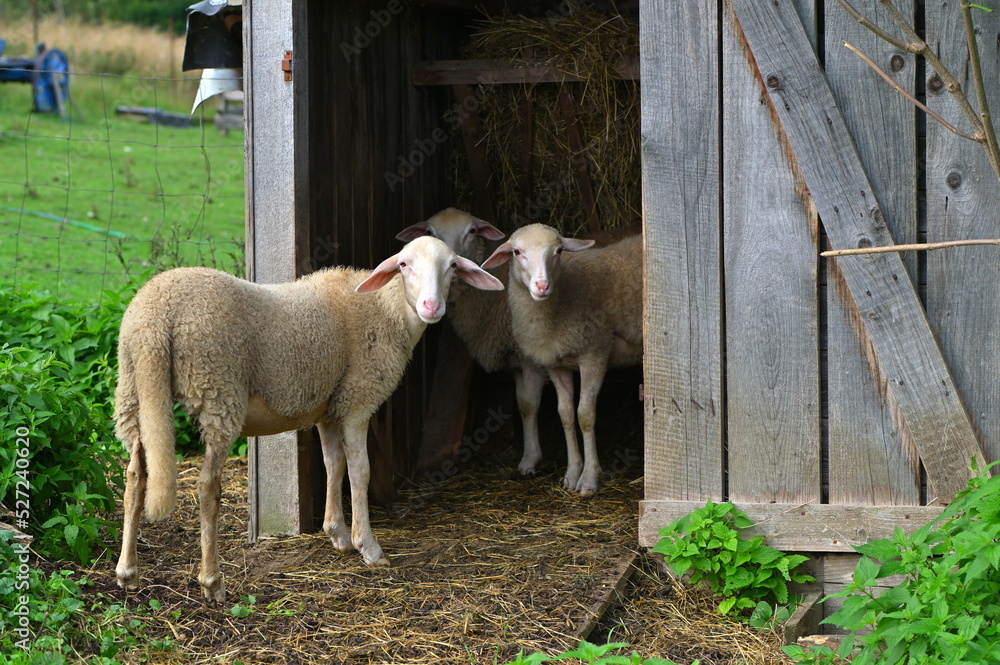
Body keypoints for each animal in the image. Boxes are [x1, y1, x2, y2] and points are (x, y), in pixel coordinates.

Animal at [113, 236, 504, 603]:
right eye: (404, 264)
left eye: (452, 266)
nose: (431, 306)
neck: (385, 308)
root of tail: (156, 315)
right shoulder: (358, 399)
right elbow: (359, 471)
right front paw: (368, 546)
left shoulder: (329, 407)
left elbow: (333, 464)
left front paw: (338, 534)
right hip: (217, 389)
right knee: (208, 486)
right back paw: (212, 581)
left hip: (133, 388)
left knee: (135, 476)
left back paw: (127, 571)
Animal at [396, 208, 550, 477]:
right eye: (430, 232)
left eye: (472, 231)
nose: (452, 262)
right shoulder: (516, 358)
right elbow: (522, 403)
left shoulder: (531, 357)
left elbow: (530, 405)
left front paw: (530, 460)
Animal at [482, 224, 643, 496]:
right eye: (516, 252)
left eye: (558, 251)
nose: (542, 286)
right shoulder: (555, 364)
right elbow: (565, 415)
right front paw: (571, 474)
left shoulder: (595, 353)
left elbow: (585, 416)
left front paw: (588, 480)